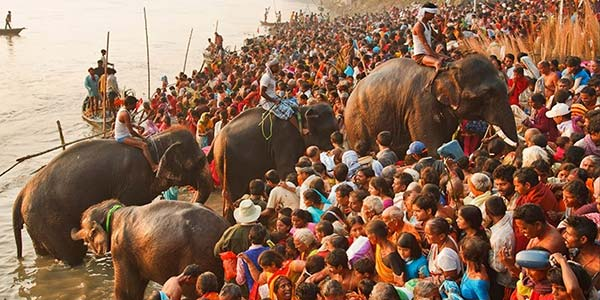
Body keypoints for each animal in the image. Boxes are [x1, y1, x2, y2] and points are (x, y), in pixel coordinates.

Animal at [11, 125, 213, 266]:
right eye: (199, 161)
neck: (156, 142)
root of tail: (22, 193)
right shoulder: (132, 185)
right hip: (49, 221)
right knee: (72, 255)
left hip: (35, 223)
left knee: (43, 253)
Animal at [72, 199, 227, 300]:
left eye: (86, 230)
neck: (114, 211)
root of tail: (224, 226)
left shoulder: (120, 250)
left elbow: (127, 291)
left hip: (200, 254)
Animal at [210, 103, 338, 216]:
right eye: (329, 129)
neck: (301, 111)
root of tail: (216, 139)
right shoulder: (284, 140)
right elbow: (286, 170)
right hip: (230, 166)